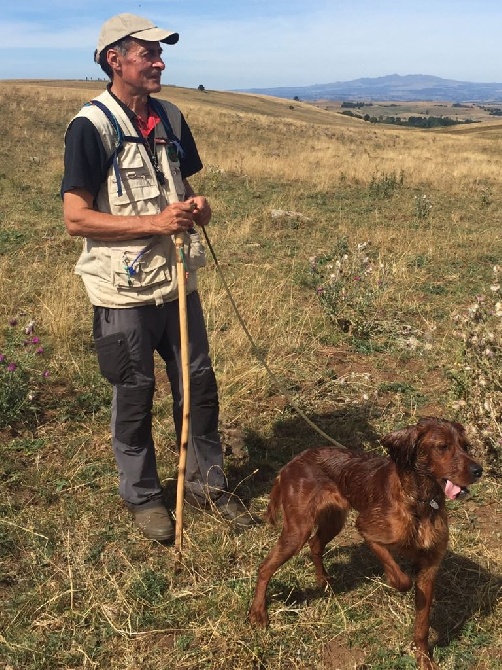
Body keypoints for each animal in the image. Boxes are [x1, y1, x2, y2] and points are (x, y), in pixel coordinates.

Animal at [249, 418, 484, 668]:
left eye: (466, 446)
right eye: (442, 446)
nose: (479, 470)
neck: (419, 501)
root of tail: (291, 463)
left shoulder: (429, 566)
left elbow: (422, 624)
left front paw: (424, 659)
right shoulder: (368, 530)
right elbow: (401, 579)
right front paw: (393, 580)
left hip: (333, 521)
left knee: (315, 545)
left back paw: (324, 582)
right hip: (297, 531)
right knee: (265, 567)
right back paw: (258, 613)